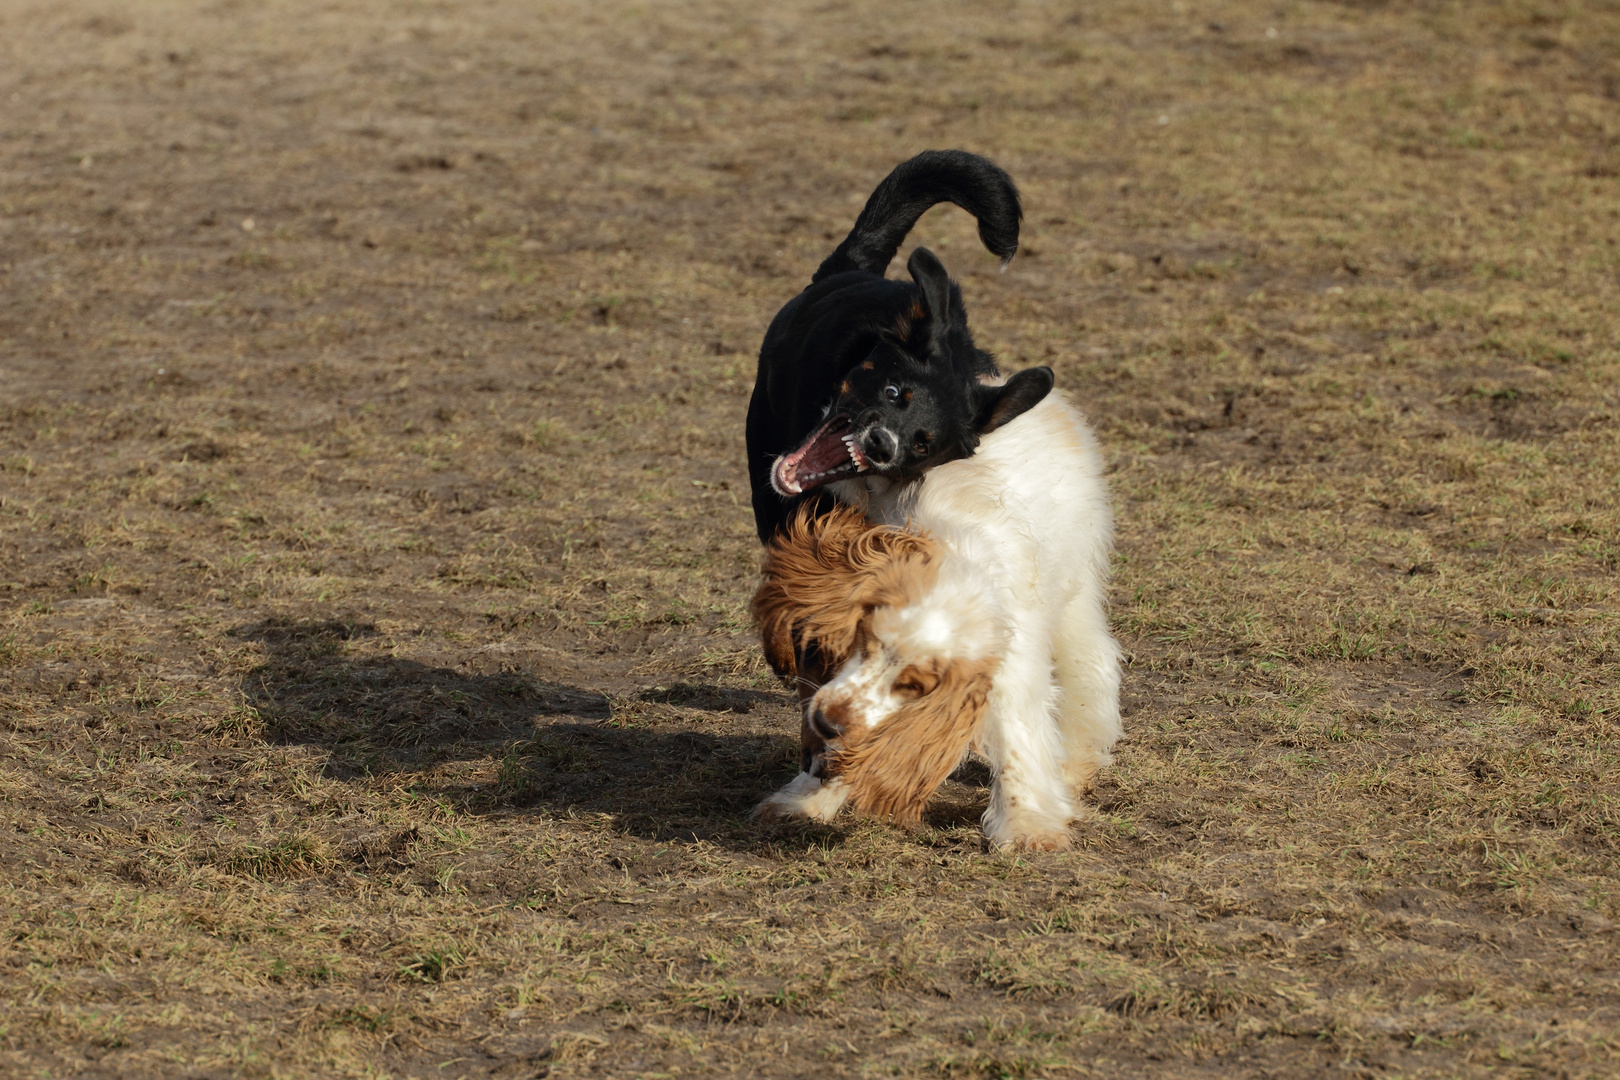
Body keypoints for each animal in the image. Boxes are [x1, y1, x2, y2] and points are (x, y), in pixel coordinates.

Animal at [751, 390, 1121, 854]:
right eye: (865, 640)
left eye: (913, 686)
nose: (826, 722)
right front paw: (805, 800)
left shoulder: (1007, 667)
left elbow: (1019, 740)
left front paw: (1027, 826)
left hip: (1075, 581)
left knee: (1092, 662)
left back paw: (1075, 761)